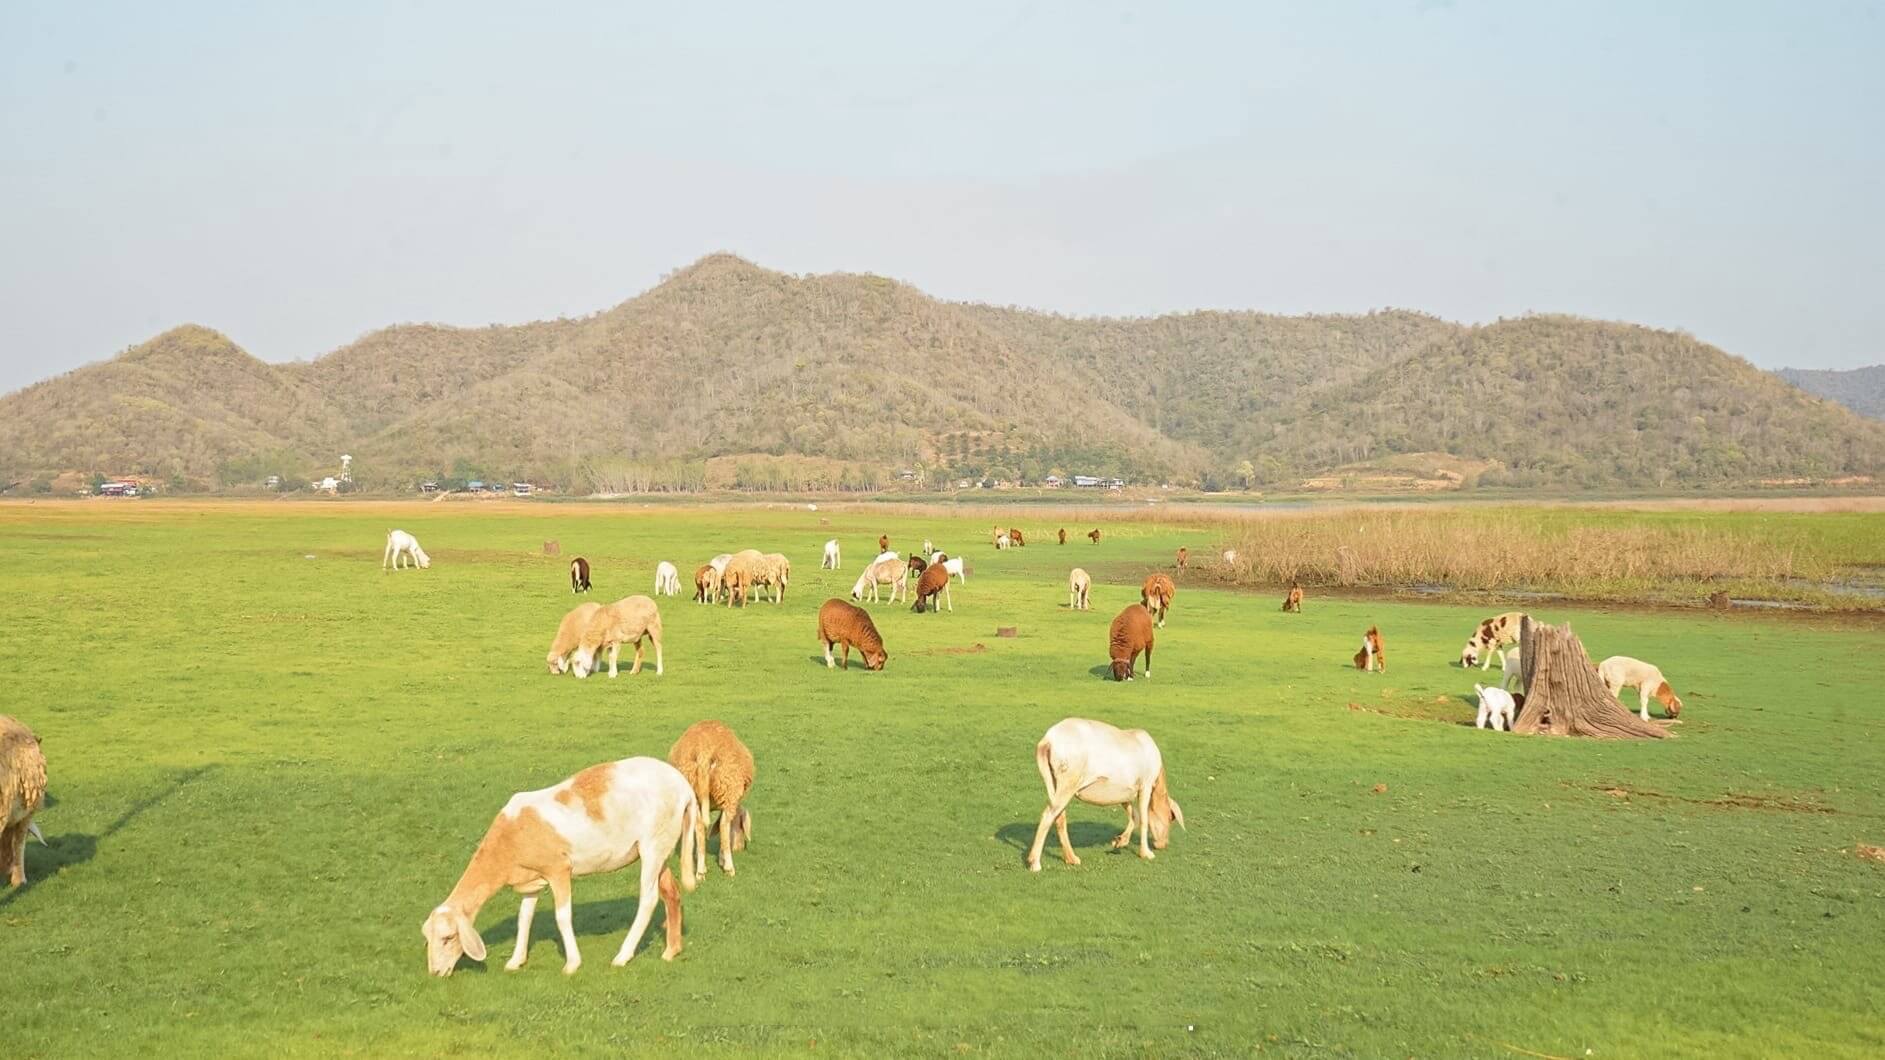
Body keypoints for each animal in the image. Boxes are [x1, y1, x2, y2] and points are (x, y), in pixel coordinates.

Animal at [420, 754, 701, 973]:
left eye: (447, 938)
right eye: (428, 939)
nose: (435, 972)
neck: (505, 847)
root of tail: (684, 788)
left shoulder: (558, 869)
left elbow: (562, 917)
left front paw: (572, 964)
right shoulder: (531, 879)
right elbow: (524, 918)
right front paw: (516, 961)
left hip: (653, 844)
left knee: (648, 899)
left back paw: (622, 956)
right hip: (661, 847)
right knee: (670, 891)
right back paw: (671, 950)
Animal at [663, 716, 750, 875]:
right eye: (741, 826)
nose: (741, 848)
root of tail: (704, 750)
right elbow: (722, 828)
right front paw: (722, 859)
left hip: (692, 790)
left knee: (698, 825)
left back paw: (700, 870)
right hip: (728, 787)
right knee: (723, 825)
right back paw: (729, 868)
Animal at [1025, 712, 1183, 871]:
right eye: (1171, 817)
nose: (1163, 845)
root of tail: (1048, 741)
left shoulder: (1125, 792)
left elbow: (1135, 816)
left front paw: (1119, 841)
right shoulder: (1146, 784)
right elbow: (1144, 819)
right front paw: (1146, 853)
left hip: (1052, 779)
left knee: (1059, 817)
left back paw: (1071, 858)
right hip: (1068, 781)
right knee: (1048, 815)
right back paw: (1035, 863)